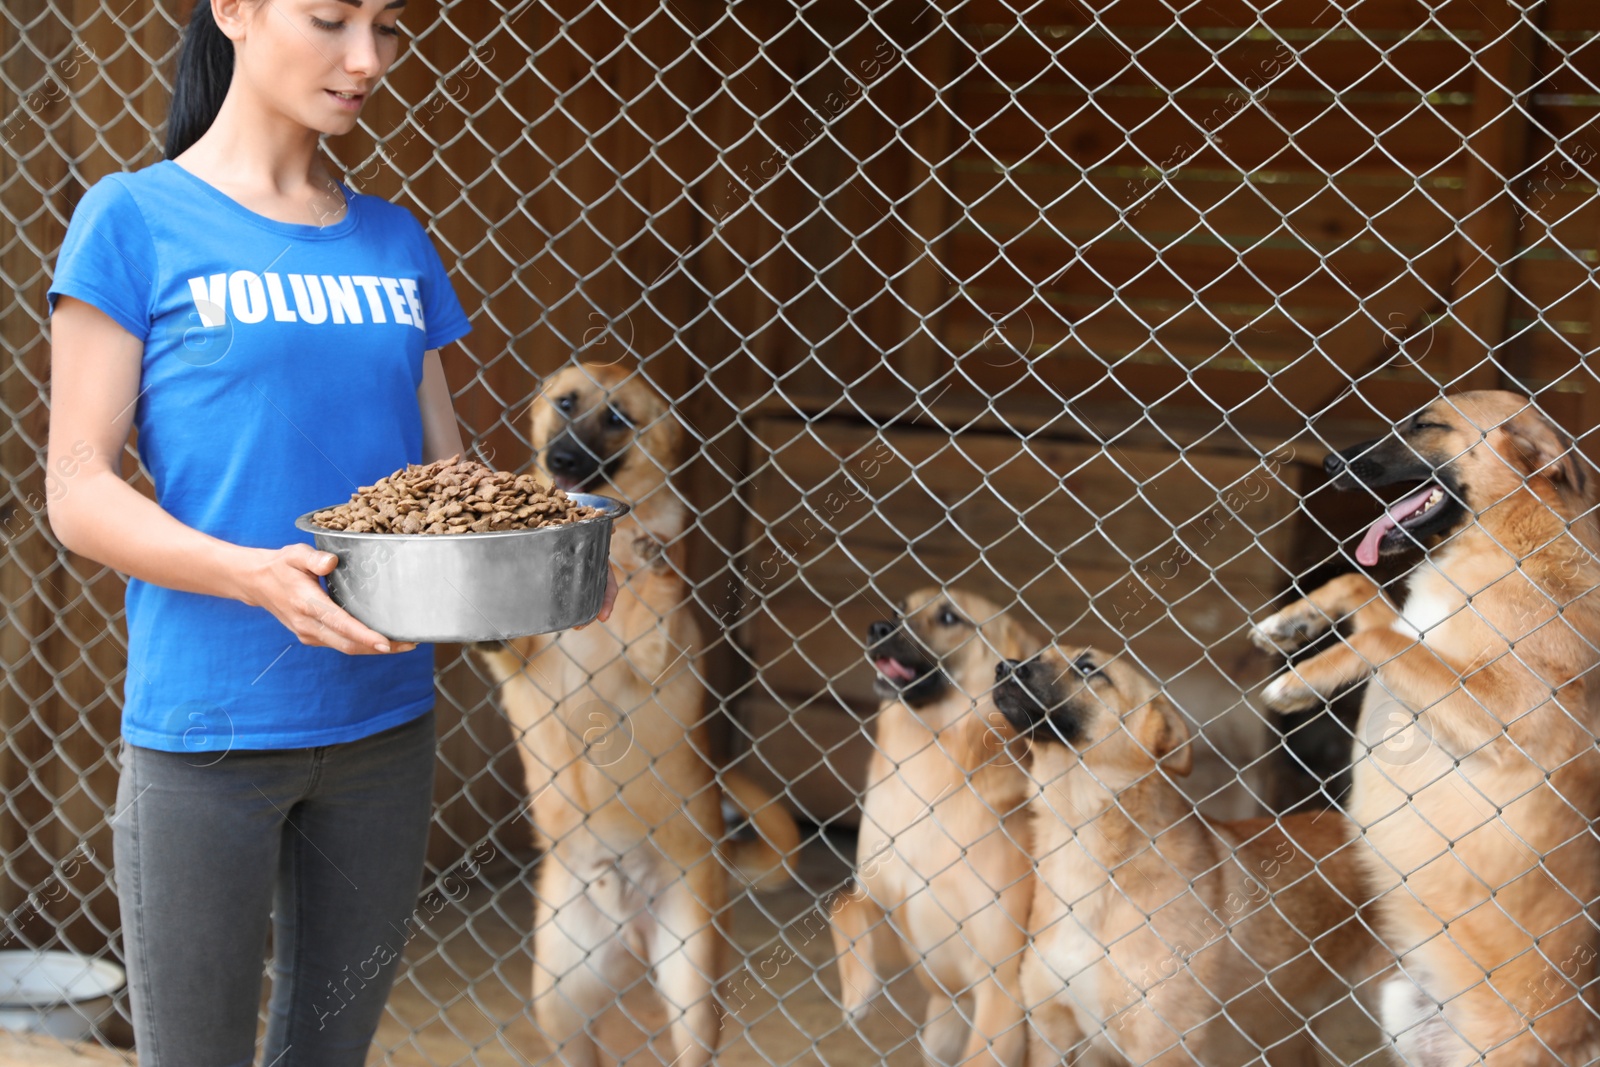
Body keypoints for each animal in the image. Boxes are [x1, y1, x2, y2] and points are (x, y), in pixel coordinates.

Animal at [473, 364, 800, 1067]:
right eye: (566, 403)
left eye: (619, 418)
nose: (563, 461)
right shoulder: (517, 662)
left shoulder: (657, 654)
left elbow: (657, 599)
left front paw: (653, 561)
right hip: (558, 997)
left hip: (693, 987)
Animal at [832, 591, 1043, 1067]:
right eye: (898, 609)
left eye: (949, 617)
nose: (877, 628)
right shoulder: (894, 923)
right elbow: (842, 904)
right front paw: (857, 992)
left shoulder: (1001, 989)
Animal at [1254, 395, 1600, 1067]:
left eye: (1428, 424)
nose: (1330, 462)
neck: (1505, 541)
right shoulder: (1418, 636)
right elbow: (1365, 593)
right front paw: (1293, 624)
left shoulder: (1512, 719)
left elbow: (1381, 638)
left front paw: (1299, 681)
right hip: (1404, 1011)